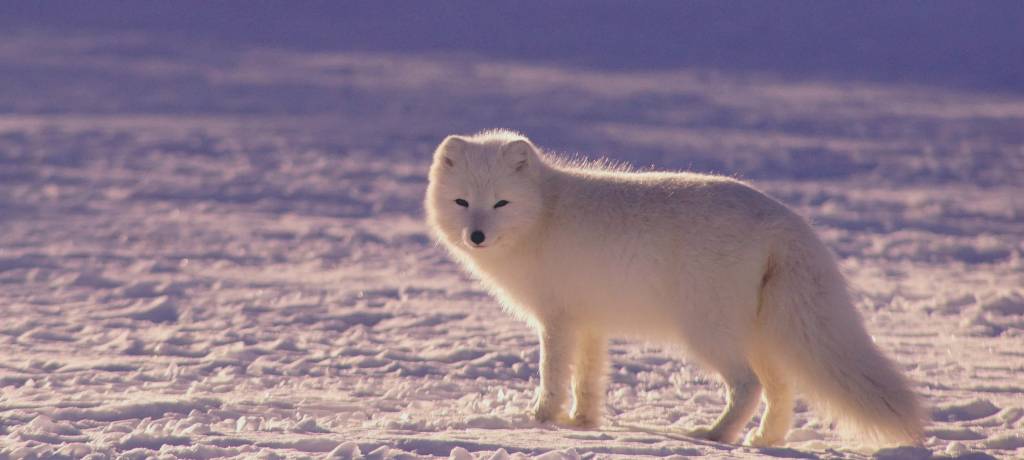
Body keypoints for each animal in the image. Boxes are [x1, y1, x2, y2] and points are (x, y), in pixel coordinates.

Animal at [423, 128, 929, 444]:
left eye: (501, 203)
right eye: (462, 202)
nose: (476, 236)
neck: (544, 214)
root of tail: (786, 220)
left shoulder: (557, 320)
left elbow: (552, 374)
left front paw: (541, 420)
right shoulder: (590, 322)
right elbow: (588, 378)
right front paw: (583, 423)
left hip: (707, 332)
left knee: (748, 386)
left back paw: (716, 435)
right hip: (761, 335)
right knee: (782, 390)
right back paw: (765, 439)